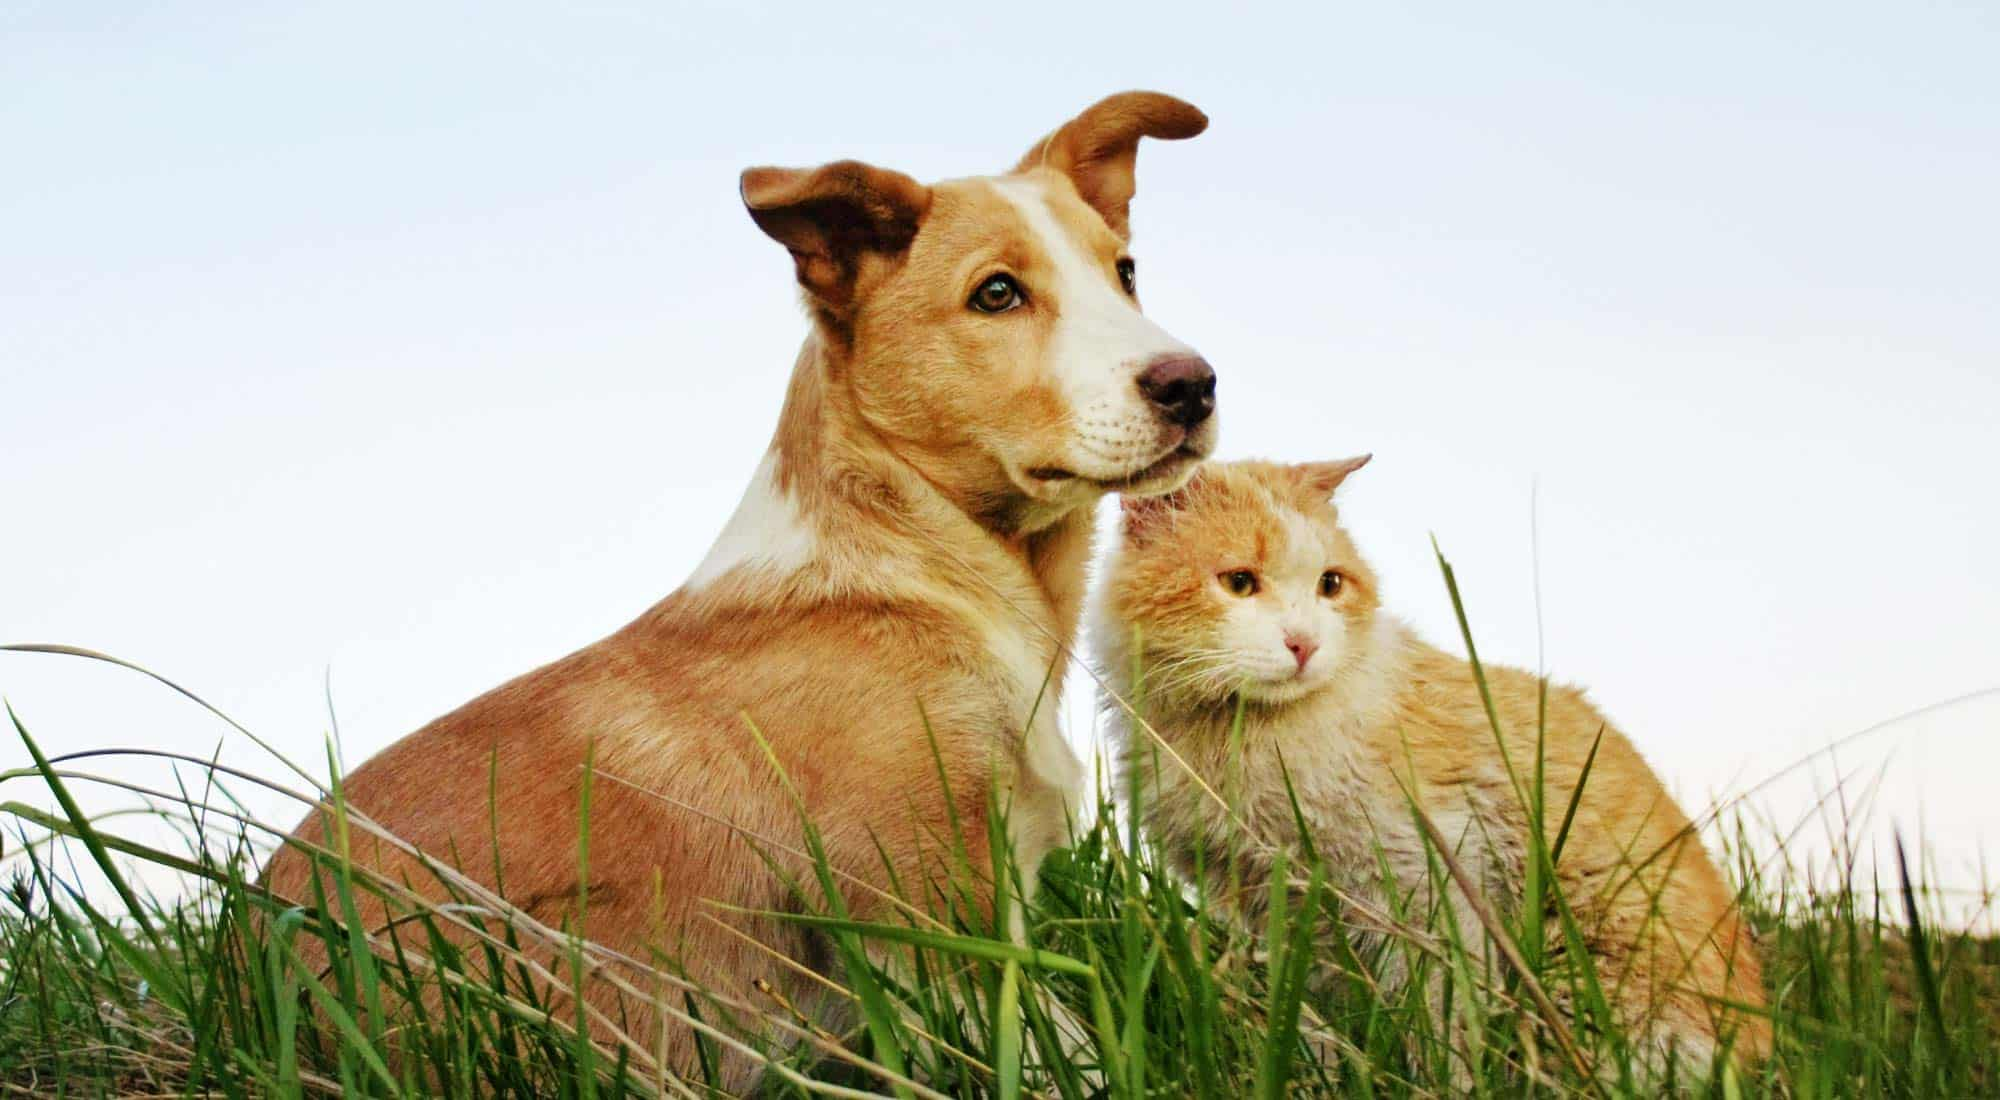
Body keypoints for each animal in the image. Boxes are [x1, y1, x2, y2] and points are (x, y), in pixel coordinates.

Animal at [258, 90, 1208, 1088]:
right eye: (996, 294)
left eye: (1126, 273)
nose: (1195, 385)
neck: (916, 558)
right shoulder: (934, 919)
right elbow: (1058, 1055)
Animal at [1096, 458, 1768, 1080]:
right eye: (1239, 583)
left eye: (1330, 584)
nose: (1304, 643)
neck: (1237, 734)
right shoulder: (1285, 908)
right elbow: (1317, 1014)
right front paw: (1326, 1068)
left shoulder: (1430, 880)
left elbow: (1442, 1016)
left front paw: (1443, 1079)